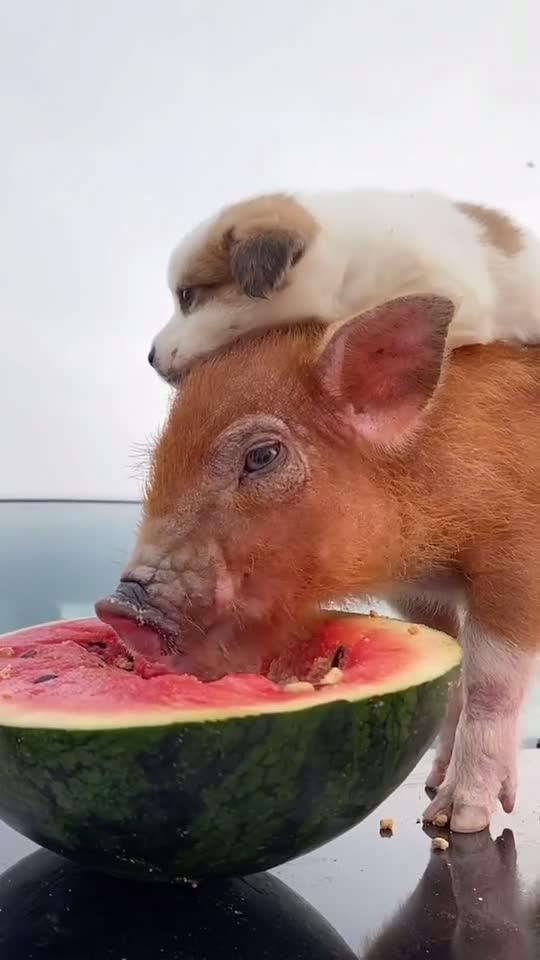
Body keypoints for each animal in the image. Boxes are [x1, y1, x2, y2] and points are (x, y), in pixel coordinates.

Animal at [96, 294, 540, 833]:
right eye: (159, 462)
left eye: (262, 456)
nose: (121, 608)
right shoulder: (414, 593)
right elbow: (452, 668)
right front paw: (436, 787)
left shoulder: (517, 557)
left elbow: (488, 682)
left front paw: (453, 820)